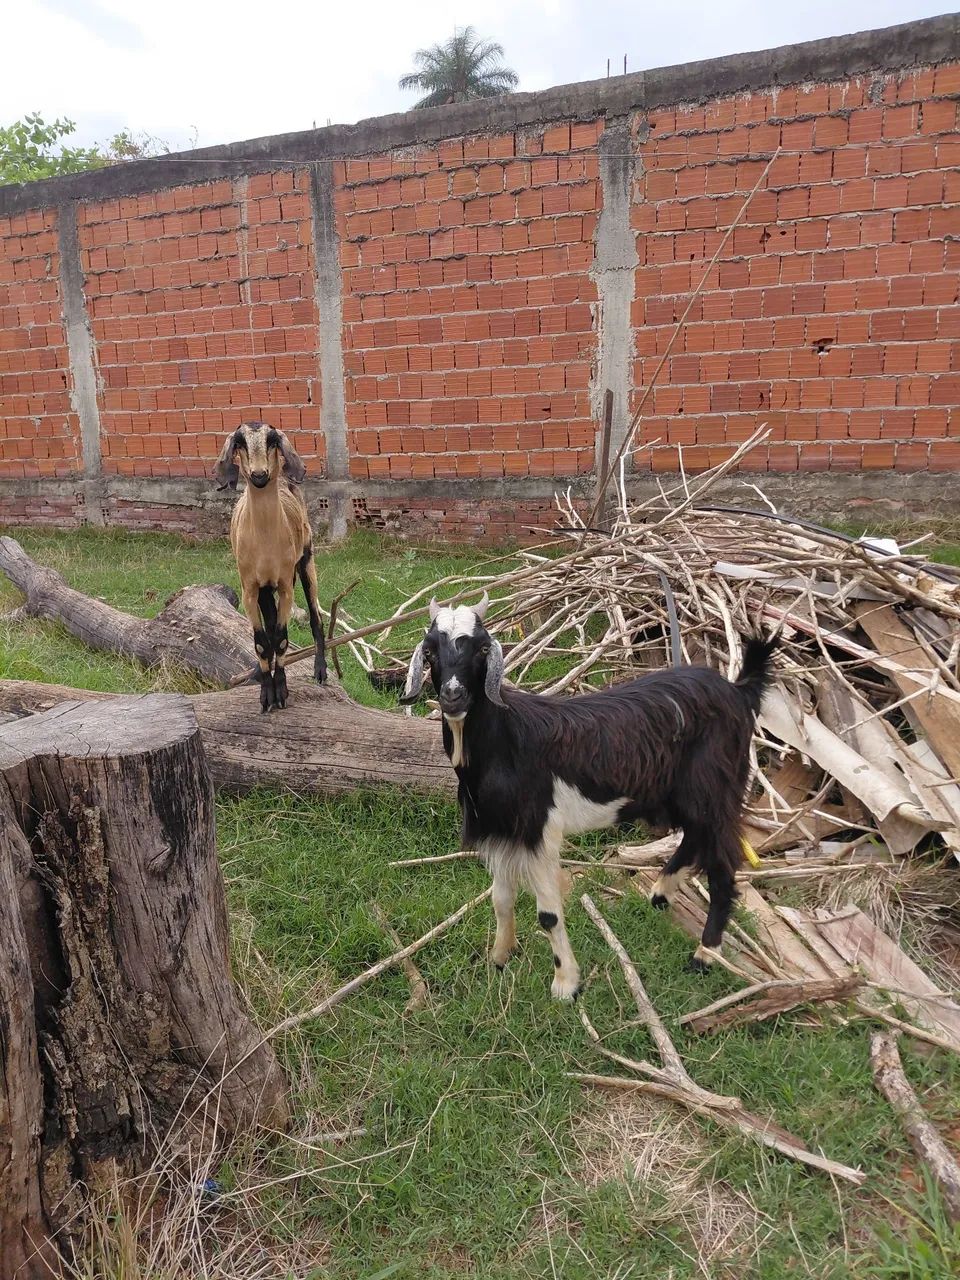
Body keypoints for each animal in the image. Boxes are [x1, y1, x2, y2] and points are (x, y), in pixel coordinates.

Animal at [214, 421, 327, 711]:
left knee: (316, 618)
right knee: (269, 629)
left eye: (273, 440)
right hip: (266, 589)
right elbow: (262, 643)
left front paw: (282, 691)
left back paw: (321, 671)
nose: (259, 475)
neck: (265, 541)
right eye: (240, 442)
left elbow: (282, 639)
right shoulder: (250, 589)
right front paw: (267, 694)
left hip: (306, 561)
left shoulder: (286, 585)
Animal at [403, 594, 777, 1000]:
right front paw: (500, 958)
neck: (506, 741)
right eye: (429, 650)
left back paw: (705, 954)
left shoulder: (540, 832)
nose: (453, 696)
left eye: (483, 648)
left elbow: (548, 915)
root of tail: (737, 691)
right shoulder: (499, 831)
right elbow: (500, 900)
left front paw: (566, 984)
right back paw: (660, 894)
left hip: (715, 787)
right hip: (680, 794)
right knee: (693, 835)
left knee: (722, 865)